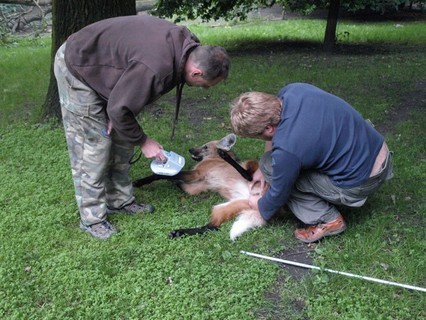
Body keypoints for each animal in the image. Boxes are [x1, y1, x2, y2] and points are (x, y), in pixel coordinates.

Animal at [133, 133, 266, 240]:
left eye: (205, 147)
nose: (190, 149)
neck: (213, 158)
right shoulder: (198, 186)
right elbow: (177, 181)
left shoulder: (196, 174)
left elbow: (161, 175)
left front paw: (140, 181)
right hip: (224, 206)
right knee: (213, 227)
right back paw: (179, 232)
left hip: (251, 166)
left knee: (248, 175)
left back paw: (225, 156)